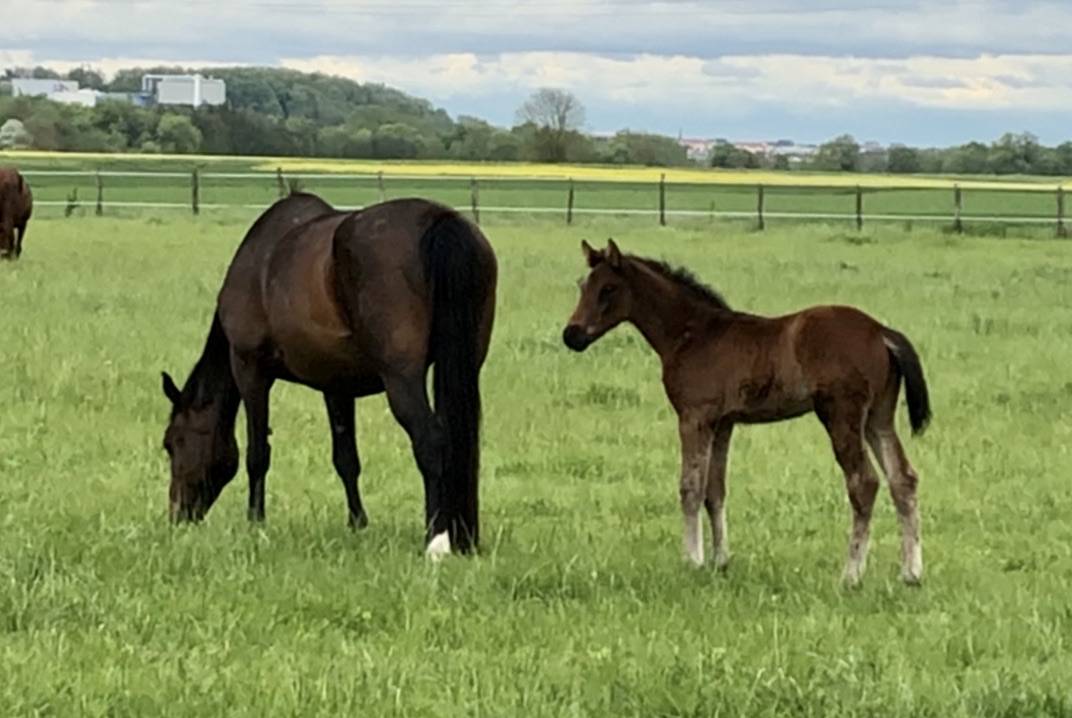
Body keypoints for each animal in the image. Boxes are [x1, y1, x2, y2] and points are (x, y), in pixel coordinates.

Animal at [161, 193, 497, 556]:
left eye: (173, 443)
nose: (177, 515)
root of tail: (438, 221)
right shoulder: (336, 385)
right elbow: (346, 458)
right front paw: (357, 524)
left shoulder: (250, 369)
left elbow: (257, 454)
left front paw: (256, 522)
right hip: (466, 364)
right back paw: (463, 538)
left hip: (402, 379)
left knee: (431, 442)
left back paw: (436, 541)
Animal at [562, 239, 931, 586]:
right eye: (582, 285)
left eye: (608, 289)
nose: (572, 335)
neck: (692, 334)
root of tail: (881, 332)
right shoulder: (723, 423)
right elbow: (715, 490)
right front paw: (720, 561)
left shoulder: (694, 417)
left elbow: (690, 487)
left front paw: (692, 561)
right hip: (878, 419)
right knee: (903, 479)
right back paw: (911, 573)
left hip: (842, 416)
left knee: (864, 483)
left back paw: (851, 575)